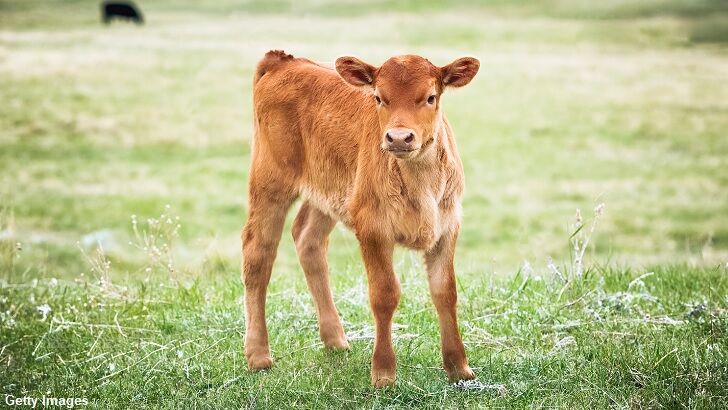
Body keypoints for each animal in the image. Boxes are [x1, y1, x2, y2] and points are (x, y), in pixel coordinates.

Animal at [242, 50, 479, 387]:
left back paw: (336, 340)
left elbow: (445, 292)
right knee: (257, 253)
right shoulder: (372, 228)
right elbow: (384, 294)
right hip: (269, 183)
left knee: (307, 238)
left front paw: (459, 368)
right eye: (379, 98)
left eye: (431, 97)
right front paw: (383, 373)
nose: (399, 138)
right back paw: (259, 355)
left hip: (330, 194)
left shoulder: (447, 227)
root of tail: (284, 61)